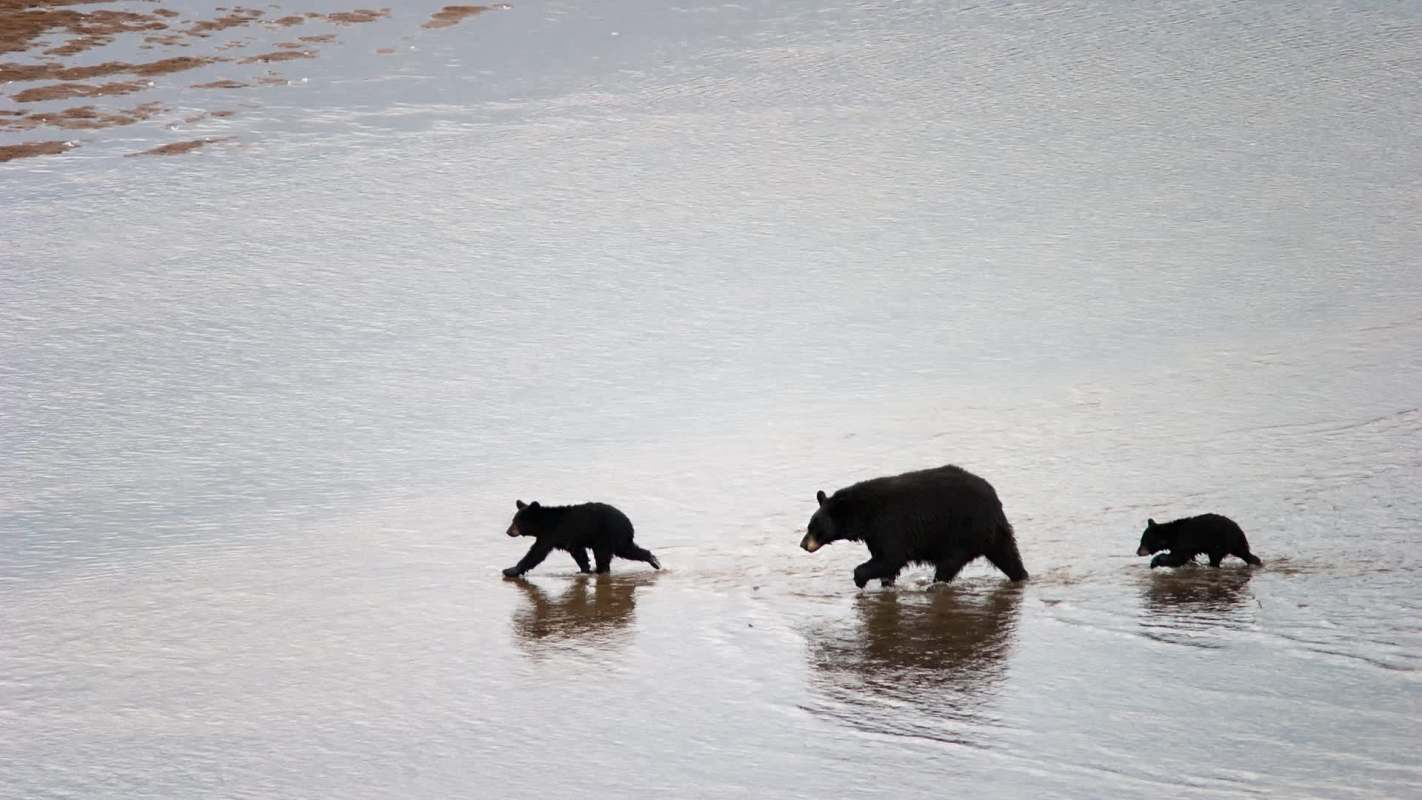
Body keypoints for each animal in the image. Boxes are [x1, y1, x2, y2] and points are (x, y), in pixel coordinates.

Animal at [502, 500, 661, 577]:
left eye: (516, 522)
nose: (508, 531)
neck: (544, 523)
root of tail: (628, 523)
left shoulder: (551, 534)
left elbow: (536, 553)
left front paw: (510, 570)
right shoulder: (570, 540)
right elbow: (579, 553)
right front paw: (584, 569)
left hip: (607, 537)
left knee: (606, 555)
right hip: (616, 538)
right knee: (627, 550)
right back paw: (654, 560)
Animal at [800, 464, 1029, 588]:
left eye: (813, 527)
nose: (803, 544)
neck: (864, 515)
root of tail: (995, 500)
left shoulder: (889, 526)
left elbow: (891, 558)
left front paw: (860, 579)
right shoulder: (875, 535)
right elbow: (885, 561)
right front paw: (886, 584)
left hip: (963, 533)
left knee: (949, 564)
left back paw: (934, 585)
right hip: (993, 534)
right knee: (1008, 556)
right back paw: (1022, 576)